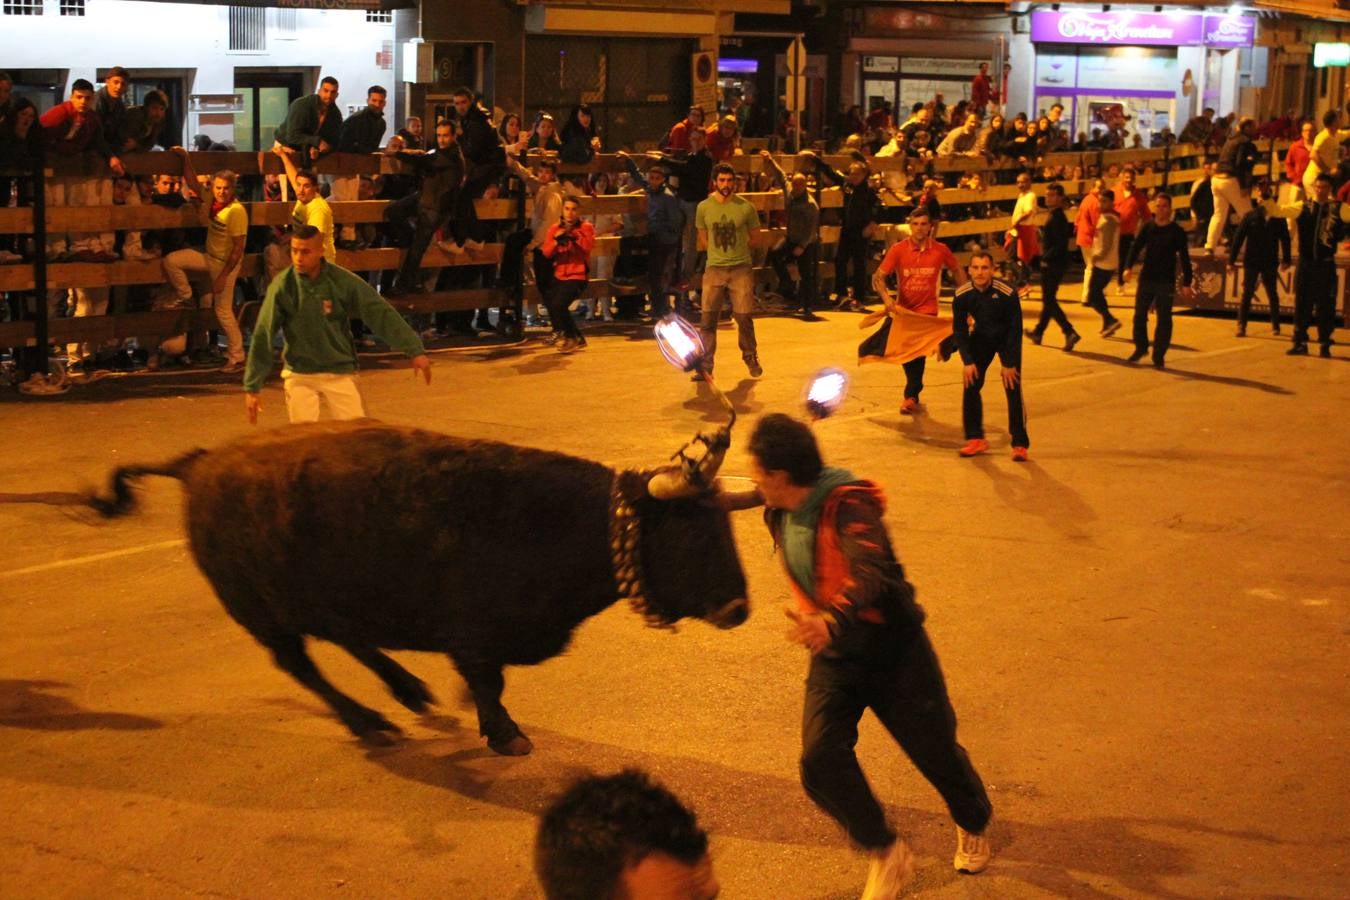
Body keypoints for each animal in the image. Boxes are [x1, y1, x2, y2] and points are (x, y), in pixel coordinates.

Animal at [91, 420, 756, 755]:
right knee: (303, 666)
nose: (740, 608)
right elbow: (488, 684)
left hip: (328, 597)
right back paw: (369, 723)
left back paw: (407, 691)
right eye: (694, 531)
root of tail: (199, 463)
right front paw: (506, 734)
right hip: (264, 615)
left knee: (350, 639)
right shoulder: (475, 636)